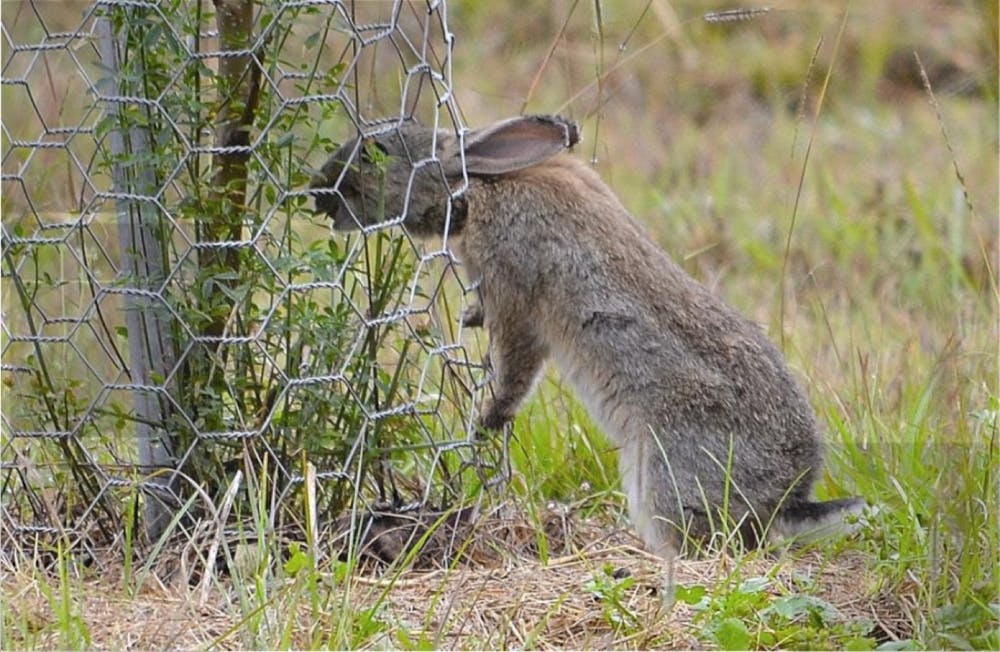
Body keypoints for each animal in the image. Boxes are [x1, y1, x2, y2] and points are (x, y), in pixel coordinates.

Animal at [309, 115, 865, 560]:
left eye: (376, 152)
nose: (319, 187)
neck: (477, 186)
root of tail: (788, 497)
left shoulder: (514, 286)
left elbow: (516, 364)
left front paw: (488, 419)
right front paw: (470, 319)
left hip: (666, 472)